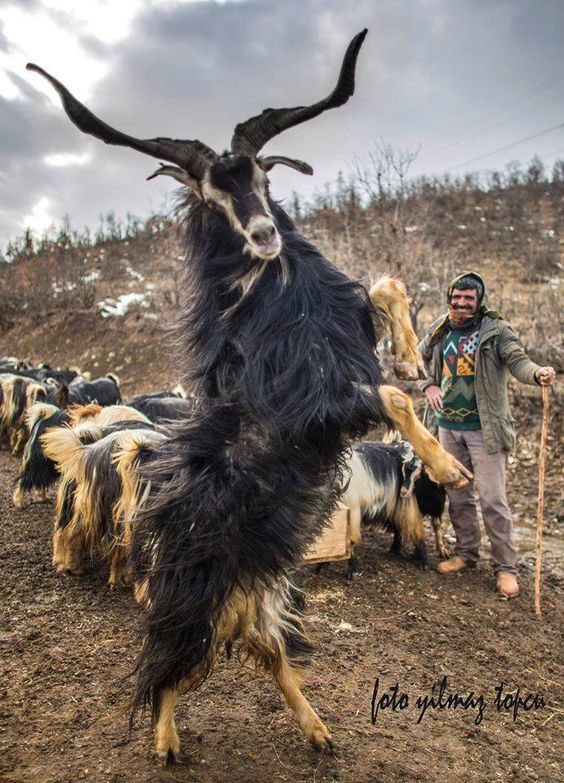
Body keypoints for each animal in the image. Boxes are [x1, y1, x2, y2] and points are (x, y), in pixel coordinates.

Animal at [29, 32, 472, 764]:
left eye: (263, 179)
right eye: (212, 193)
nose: (264, 234)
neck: (274, 289)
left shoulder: (344, 338)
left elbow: (387, 288)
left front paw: (412, 354)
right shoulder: (320, 405)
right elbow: (392, 397)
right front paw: (450, 466)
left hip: (260, 595)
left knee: (266, 654)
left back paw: (317, 730)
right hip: (195, 602)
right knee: (168, 667)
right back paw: (167, 741)